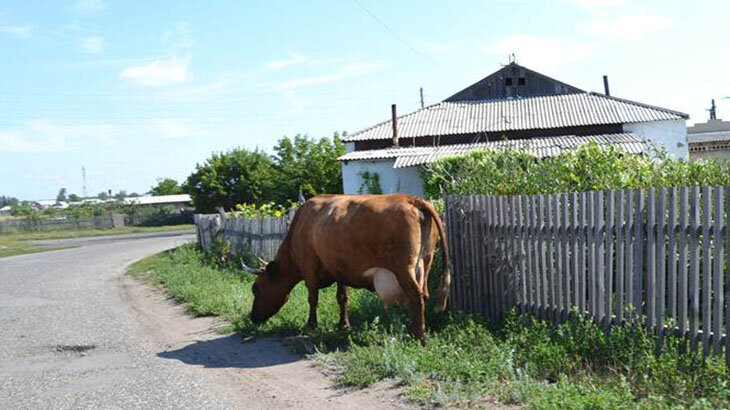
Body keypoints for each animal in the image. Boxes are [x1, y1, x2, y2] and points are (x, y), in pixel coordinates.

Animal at [243, 195, 450, 340]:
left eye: (256, 288)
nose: (252, 317)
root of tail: (410, 199)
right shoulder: (339, 268)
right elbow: (342, 298)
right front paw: (343, 324)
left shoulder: (309, 266)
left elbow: (312, 298)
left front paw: (311, 325)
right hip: (426, 262)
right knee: (424, 295)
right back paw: (416, 330)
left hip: (404, 267)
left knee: (416, 296)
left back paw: (418, 337)